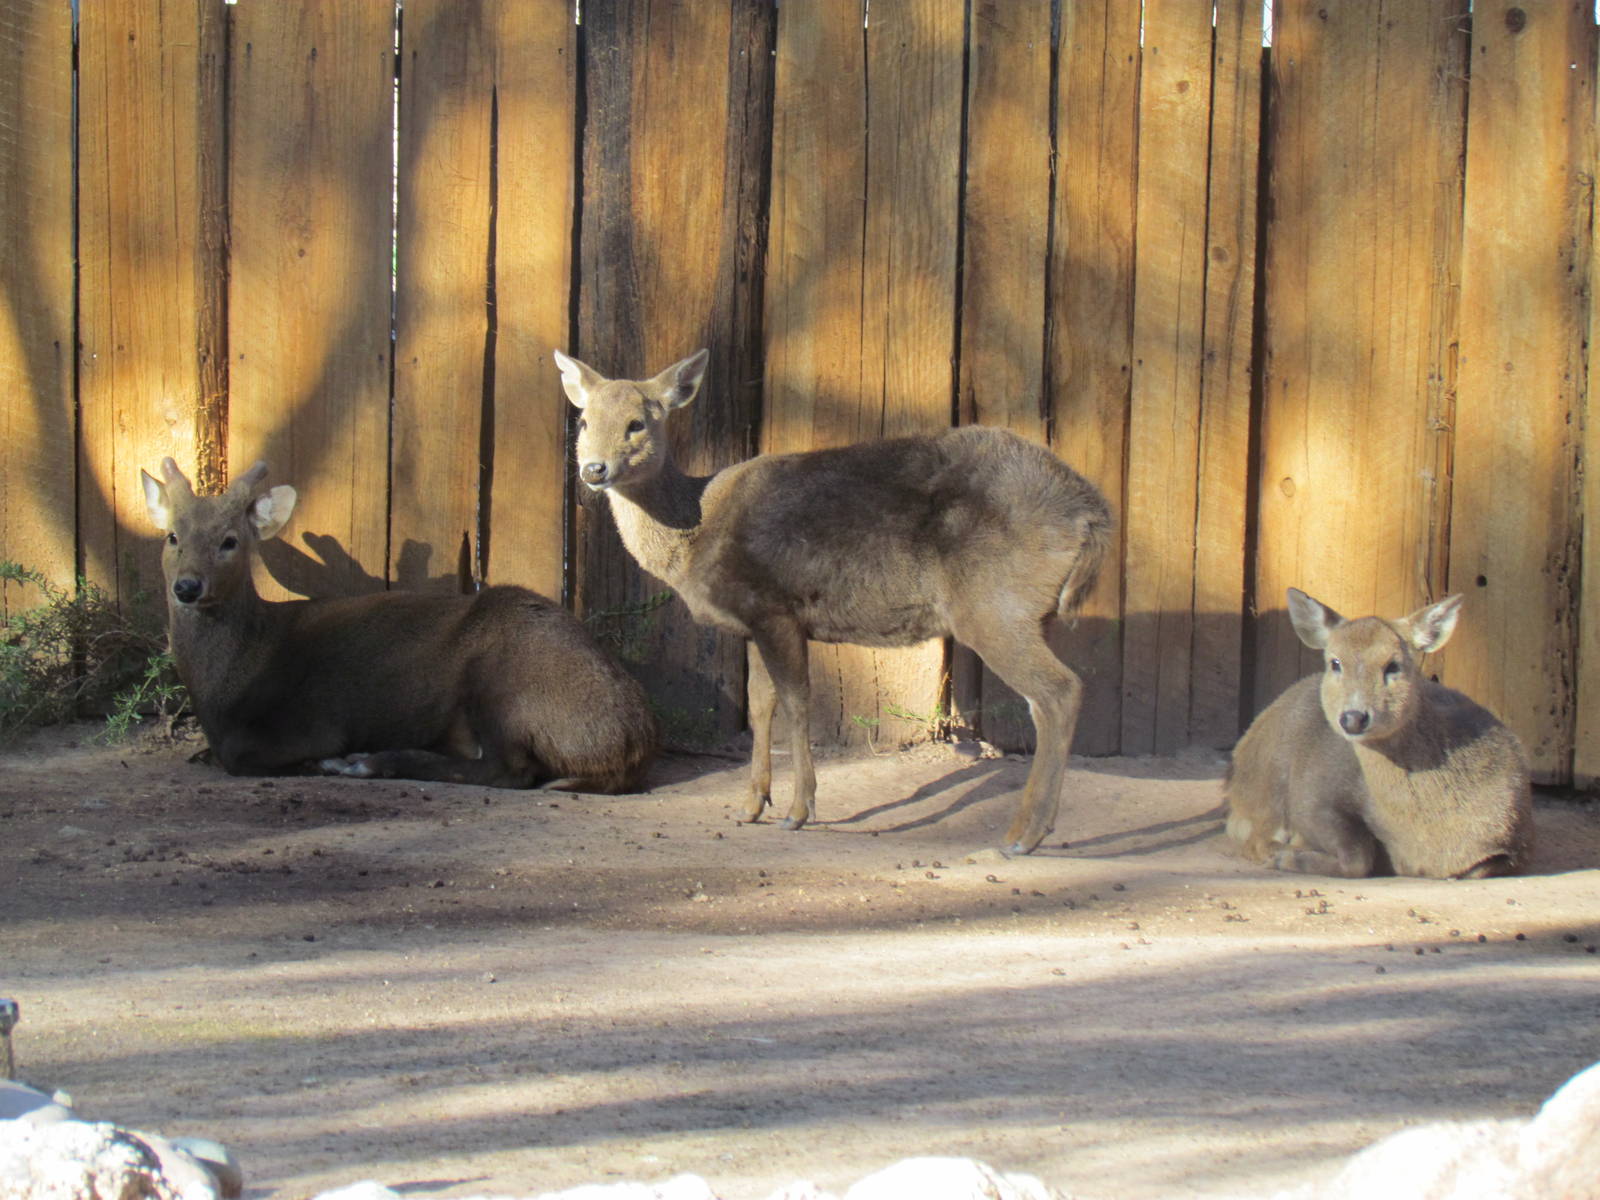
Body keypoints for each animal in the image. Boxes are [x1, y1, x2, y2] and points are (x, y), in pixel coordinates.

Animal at [140, 458, 657, 792]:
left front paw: (327, 764)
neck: (229, 685)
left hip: (503, 685)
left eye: (230, 541)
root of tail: (631, 742)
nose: (187, 586)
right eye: (172, 537)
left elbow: (239, 757)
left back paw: (370, 762)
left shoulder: (314, 720)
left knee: (508, 770)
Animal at [553, 348, 1113, 856]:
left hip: (993, 605)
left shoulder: (773, 604)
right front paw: (751, 805)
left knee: (1059, 692)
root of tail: (1091, 513)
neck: (697, 528)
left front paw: (798, 811)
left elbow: (797, 702)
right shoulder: (753, 619)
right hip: (1030, 612)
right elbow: (760, 703)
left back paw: (1022, 835)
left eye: (636, 424)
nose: (594, 469)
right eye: (584, 421)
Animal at [1225, 587, 1534, 878]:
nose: (1353, 718)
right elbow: (1357, 857)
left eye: (1393, 665)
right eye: (1335, 662)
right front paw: (1288, 856)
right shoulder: (1312, 796)